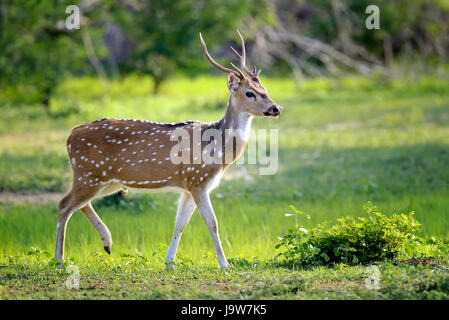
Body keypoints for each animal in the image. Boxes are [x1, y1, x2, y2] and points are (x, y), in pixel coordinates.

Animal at [55, 30, 280, 270]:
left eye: (265, 89)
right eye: (249, 93)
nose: (276, 108)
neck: (218, 151)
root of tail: (70, 136)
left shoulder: (189, 185)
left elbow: (180, 223)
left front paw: (169, 262)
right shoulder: (198, 180)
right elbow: (212, 222)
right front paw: (225, 264)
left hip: (106, 180)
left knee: (78, 204)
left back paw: (107, 243)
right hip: (89, 173)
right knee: (63, 204)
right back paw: (60, 259)